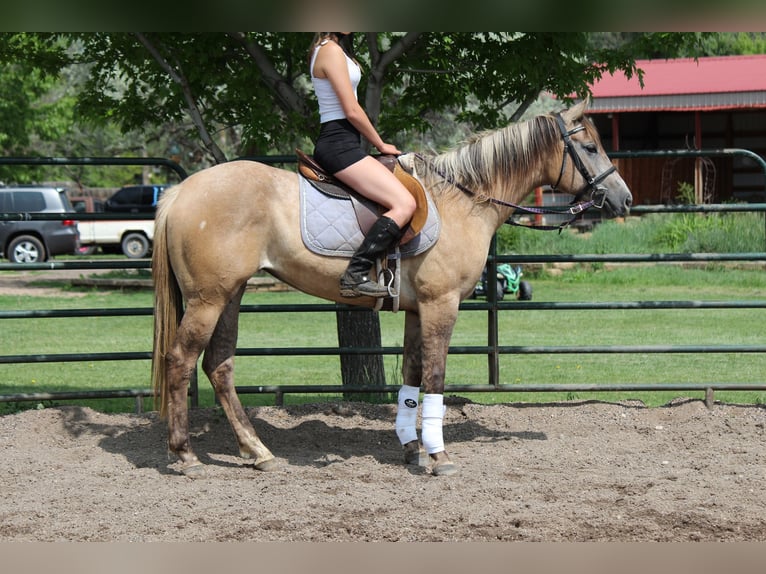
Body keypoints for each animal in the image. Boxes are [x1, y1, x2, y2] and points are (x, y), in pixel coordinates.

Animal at [151, 99, 632, 478]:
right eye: (590, 147)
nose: (624, 199)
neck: (462, 200)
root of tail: (181, 191)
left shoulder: (418, 311)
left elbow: (412, 380)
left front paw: (412, 448)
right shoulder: (441, 305)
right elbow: (435, 378)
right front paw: (439, 457)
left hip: (230, 294)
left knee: (219, 366)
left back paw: (257, 451)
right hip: (208, 299)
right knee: (181, 360)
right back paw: (185, 455)